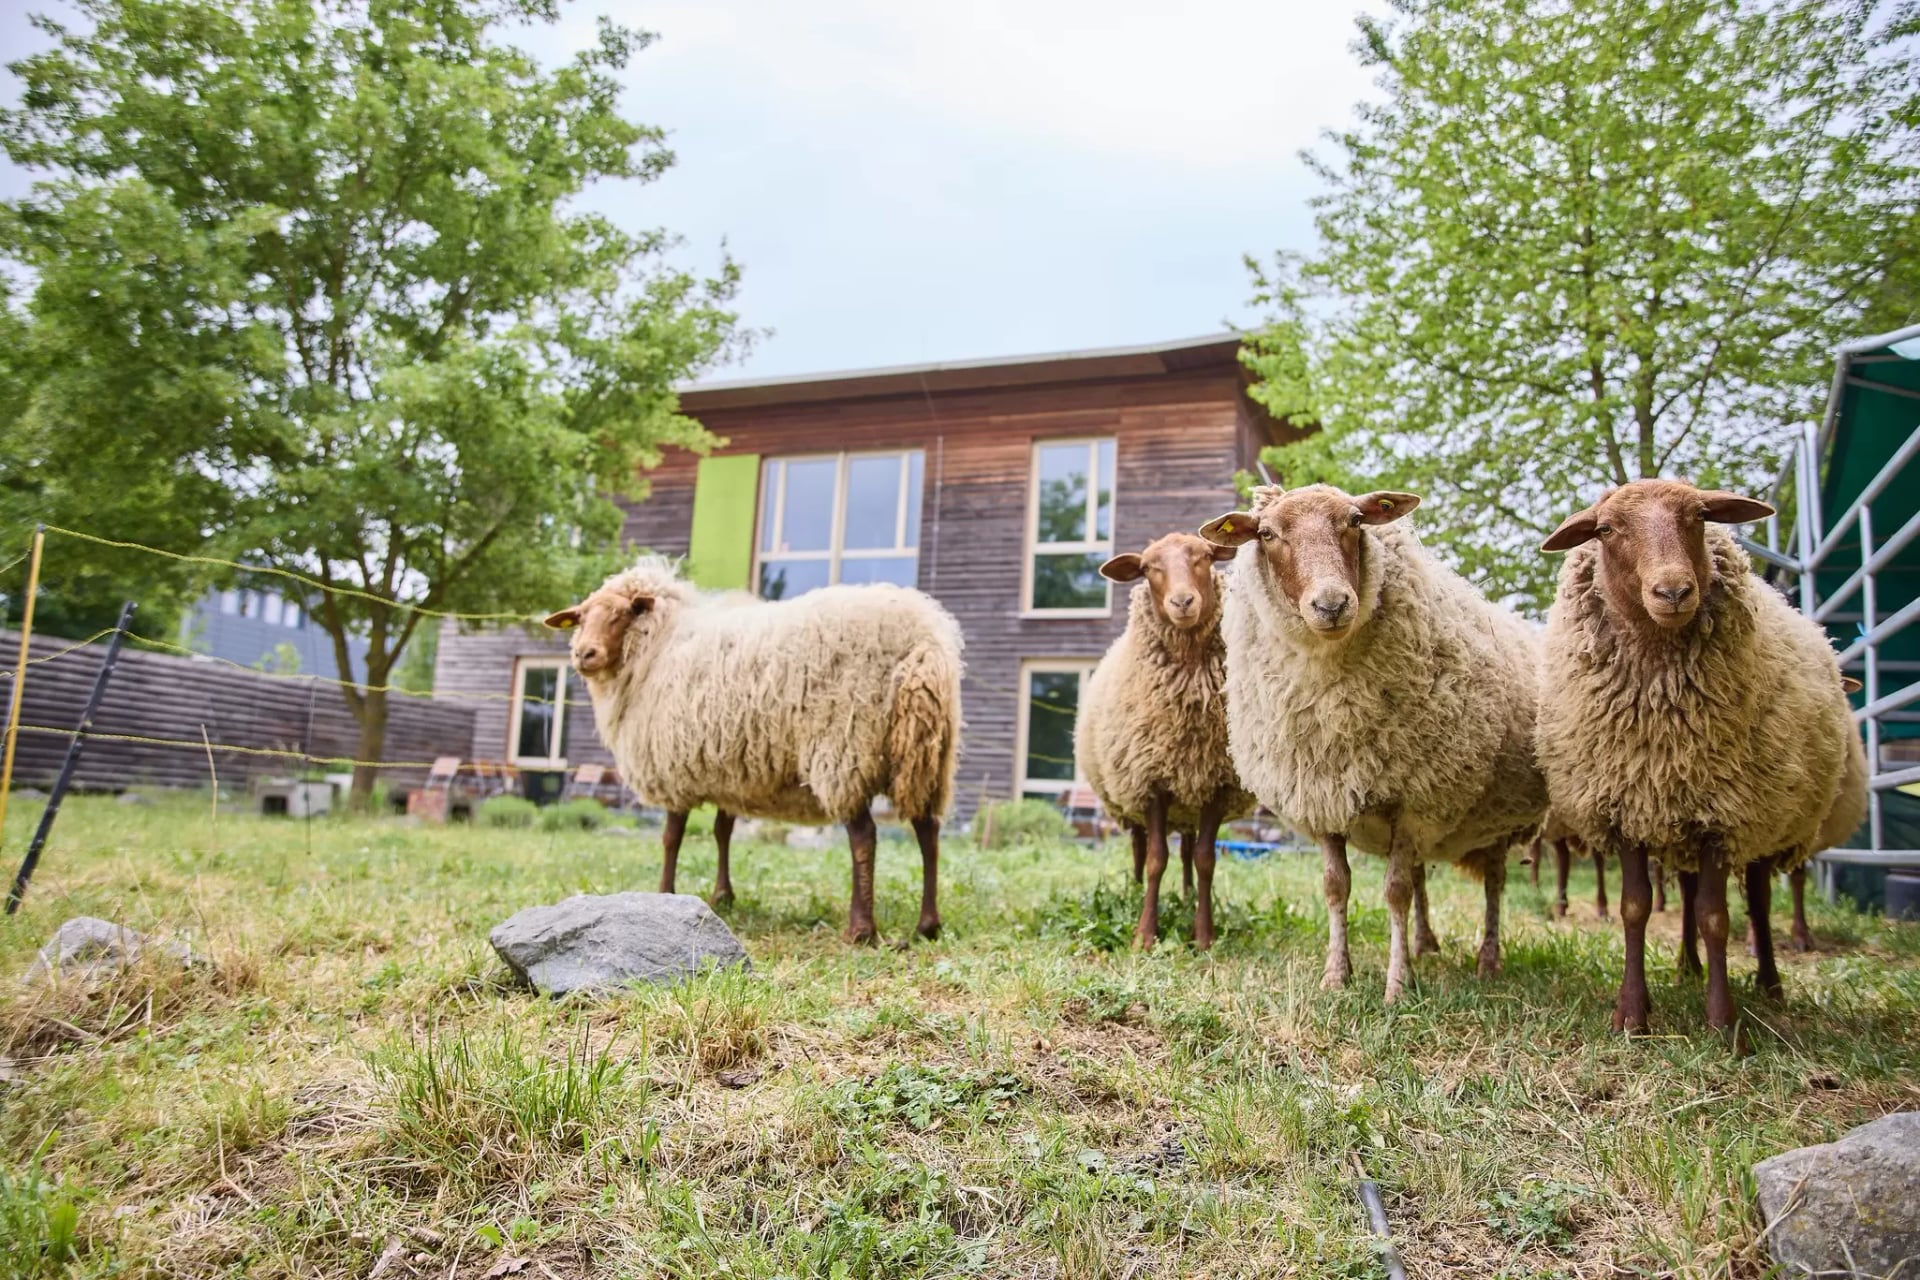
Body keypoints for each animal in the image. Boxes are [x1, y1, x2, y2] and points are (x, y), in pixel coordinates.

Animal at [544, 557, 964, 944]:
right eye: (580, 618)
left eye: (622, 614)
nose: (584, 654)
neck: (658, 644)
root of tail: (923, 642)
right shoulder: (730, 768)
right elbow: (722, 831)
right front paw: (722, 896)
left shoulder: (673, 766)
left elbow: (671, 837)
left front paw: (665, 892)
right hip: (927, 754)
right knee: (928, 832)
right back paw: (928, 926)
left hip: (845, 749)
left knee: (864, 836)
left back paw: (860, 929)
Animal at [1074, 532, 1254, 950]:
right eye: (1148, 567)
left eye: (1205, 557)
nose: (1183, 601)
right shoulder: (1151, 782)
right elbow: (1157, 859)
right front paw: (1144, 934)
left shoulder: (1217, 784)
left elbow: (1206, 860)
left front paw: (1203, 935)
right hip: (1132, 800)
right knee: (1140, 849)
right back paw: (1135, 890)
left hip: (1189, 800)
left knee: (1188, 852)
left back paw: (1187, 897)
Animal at [1200, 483, 1548, 1003]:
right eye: (1266, 534)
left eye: (1356, 521)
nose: (1331, 604)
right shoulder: (1321, 796)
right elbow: (1335, 887)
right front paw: (1336, 975)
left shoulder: (1415, 799)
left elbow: (1395, 892)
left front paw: (1397, 986)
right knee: (1424, 872)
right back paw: (1425, 945)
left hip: (1495, 823)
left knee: (1493, 883)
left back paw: (1487, 960)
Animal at [1536, 478, 1859, 1032]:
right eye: (1606, 529)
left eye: (1701, 516)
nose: (1673, 592)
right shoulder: (1627, 808)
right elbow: (1635, 907)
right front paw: (1632, 1014)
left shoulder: (1724, 817)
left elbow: (1716, 916)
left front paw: (1724, 1023)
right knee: (1686, 893)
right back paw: (1687, 965)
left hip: (1770, 820)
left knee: (1757, 901)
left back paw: (1769, 983)